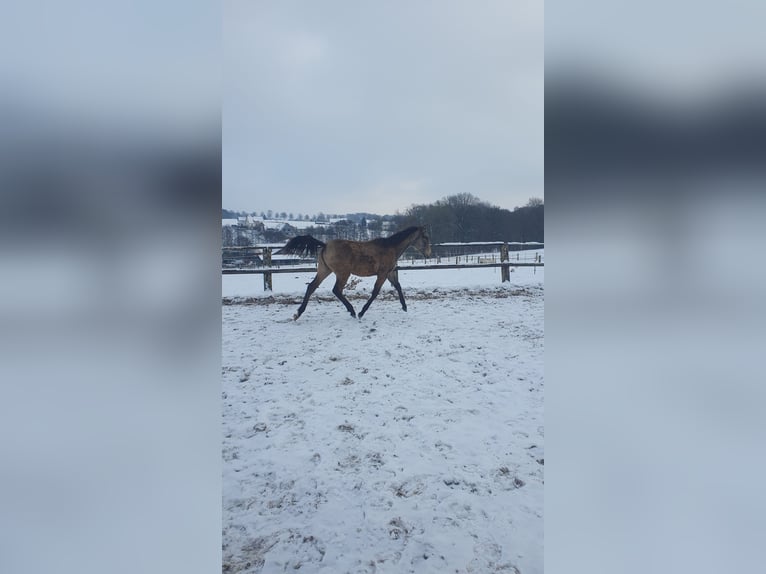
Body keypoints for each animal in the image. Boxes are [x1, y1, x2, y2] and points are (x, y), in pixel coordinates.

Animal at [276, 226, 431, 320]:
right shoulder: (382, 274)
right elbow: (375, 292)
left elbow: (398, 286)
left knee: (311, 287)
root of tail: (325, 245)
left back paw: (298, 313)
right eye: (425, 238)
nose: (428, 253)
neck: (390, 247)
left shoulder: (390, 273)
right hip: (343, 273)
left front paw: (404, 307)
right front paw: (362, 312)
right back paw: (352, 311)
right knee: (336, 290)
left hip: (324, 270)